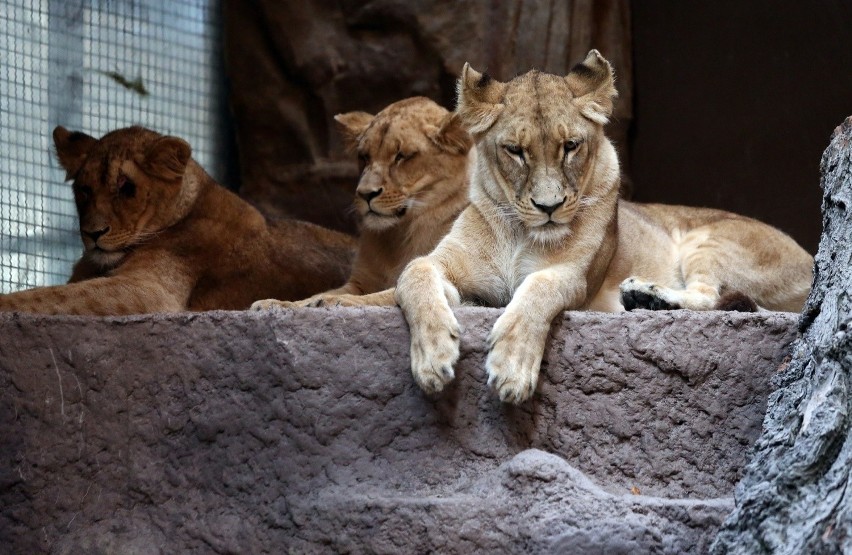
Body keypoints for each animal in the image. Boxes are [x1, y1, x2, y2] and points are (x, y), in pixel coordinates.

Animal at [251, 97, 472, 310]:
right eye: (364, 157)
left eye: (401, 156)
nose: (365, 193)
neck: (398, 237)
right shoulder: (361, 281)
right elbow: (317, 294)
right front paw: (277, 303)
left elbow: (381, 296)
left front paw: (334, 301)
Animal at [396, 51, 816, 404]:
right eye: (515, 151)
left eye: (570, 146)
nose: (549, 207)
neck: (520, 233)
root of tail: (811, 258)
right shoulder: (447, 263)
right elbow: (414, 272)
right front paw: (433, 357)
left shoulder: (575, 276)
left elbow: (538, 289)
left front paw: (511, 367)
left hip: (709, 239)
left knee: (710, 296)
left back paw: (647, 295)